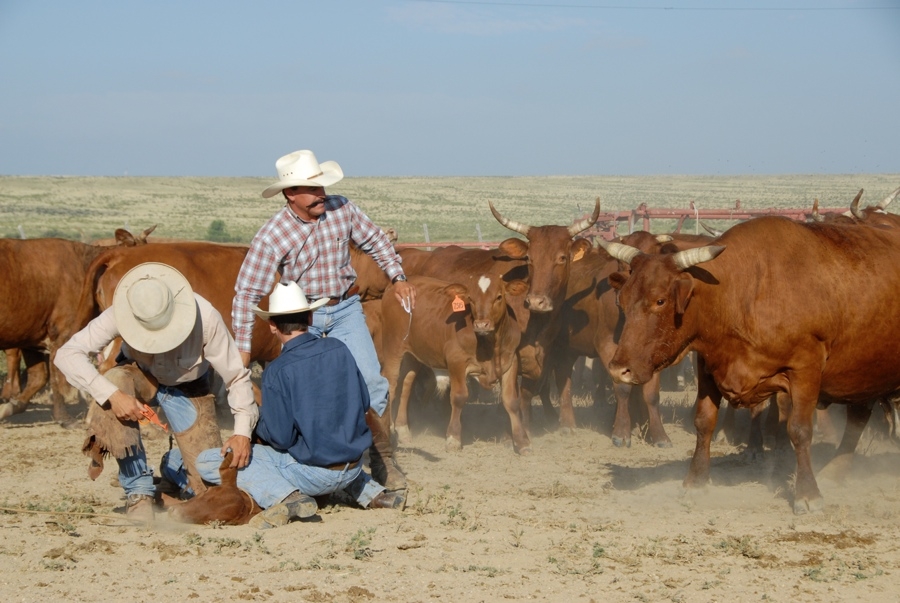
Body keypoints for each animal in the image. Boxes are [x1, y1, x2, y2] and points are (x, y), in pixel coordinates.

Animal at [604, 215, 900, 512]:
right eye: (622, 300)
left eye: (660, 300)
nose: (619, 369)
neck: (746, 291)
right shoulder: (708, 367)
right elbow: (704, 422)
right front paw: (696, 481)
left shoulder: (805, 370)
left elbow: (800, 430)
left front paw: (807, 493)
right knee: (858, 418)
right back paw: (835, 472)